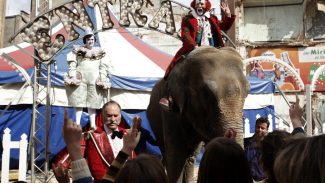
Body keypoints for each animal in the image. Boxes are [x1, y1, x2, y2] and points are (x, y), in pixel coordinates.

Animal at [146, 46, 248, 182]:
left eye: (248, 91)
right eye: (206, 93)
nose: (231, 133)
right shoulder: (171, 112)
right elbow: (176, 154)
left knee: (191, 156)